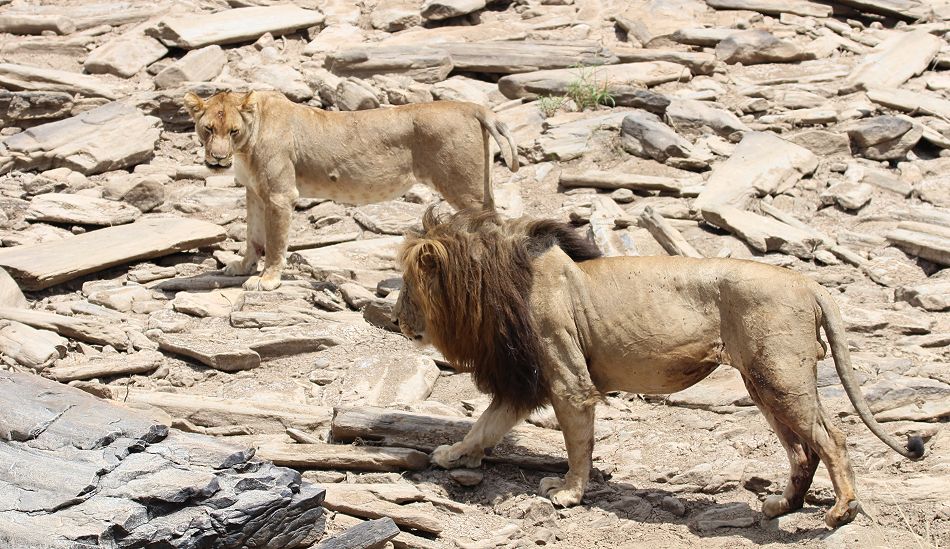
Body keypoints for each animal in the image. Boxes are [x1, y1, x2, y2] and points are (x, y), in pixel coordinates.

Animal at [181, 90, 516, 292]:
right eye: (208, 129)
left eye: (233, 130)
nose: (218, 158)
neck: (247, 142)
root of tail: (473, 106)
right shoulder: (254, 192)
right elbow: (253, 234)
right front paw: (242, 266)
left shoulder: (280, 194)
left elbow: (275, 242)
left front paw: (268, 279)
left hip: (464, 188)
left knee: (493, 225)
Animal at [394, 209, 924, 528]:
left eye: (407, 286)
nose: (396, 318)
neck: (496, 286)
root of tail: (808, 282)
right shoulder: (527, 380)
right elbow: (484, 425)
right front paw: (450, 454)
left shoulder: (567, 379)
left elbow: (576, 444)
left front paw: (568, 493)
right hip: (763, 383)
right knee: (802, 451)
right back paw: (781, 505)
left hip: (781, 377)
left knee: (832, 439)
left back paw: (841, 512)